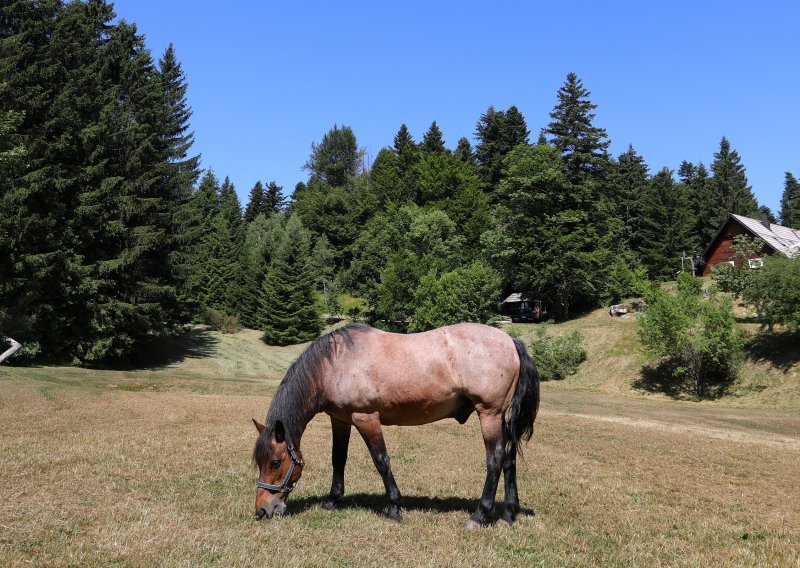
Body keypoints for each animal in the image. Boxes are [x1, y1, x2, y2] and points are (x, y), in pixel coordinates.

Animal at [253, 324, 540, 528]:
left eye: (275, 462)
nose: (262, 509)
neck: (335, 364)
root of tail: (510, 341)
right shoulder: (341, 420)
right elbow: (338, 459)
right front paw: (333, 500)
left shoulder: (366, 417)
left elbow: (381, 461)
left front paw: (393, 508)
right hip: (499, 417)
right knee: (509, 458)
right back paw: (508, 515)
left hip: (489, 414)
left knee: (495, 460)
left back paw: (478, 516)